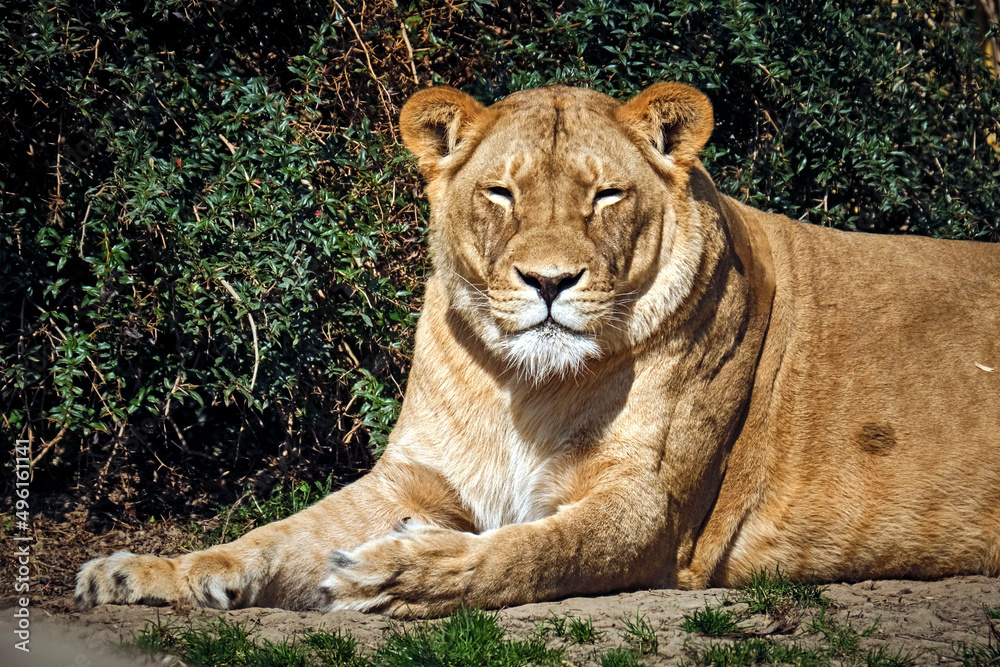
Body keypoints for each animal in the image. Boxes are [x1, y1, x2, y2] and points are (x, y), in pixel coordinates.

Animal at [76, 83, 1000, 617]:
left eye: (606, 195)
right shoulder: (413, 479)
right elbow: (280, 532)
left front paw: (398, 574)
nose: (549, 281)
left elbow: (532, 549)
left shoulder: (649, 511)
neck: (523, 386)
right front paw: (153, 571)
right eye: (500, 192)